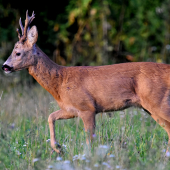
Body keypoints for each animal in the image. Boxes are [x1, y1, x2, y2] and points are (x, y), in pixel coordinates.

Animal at [2, 10, 170, 153]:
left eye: (18, 53)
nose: (5, 66)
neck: (60, 82)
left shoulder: (87, 107)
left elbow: (89, 139)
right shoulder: (70, 108)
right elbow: (50, 116)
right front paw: (58, 148)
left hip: (158, 101)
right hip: (150, 108)